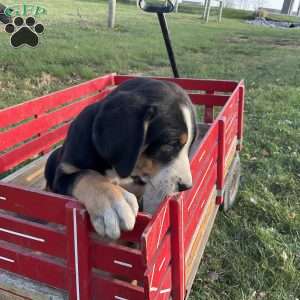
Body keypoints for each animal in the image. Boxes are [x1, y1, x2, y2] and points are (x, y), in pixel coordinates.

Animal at [44, 77, 197, 239]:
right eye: (170, 144)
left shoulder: (139, 194)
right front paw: (112, 202)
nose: (186, 187)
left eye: (190, 146)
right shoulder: (63, 175)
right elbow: (87, 175)